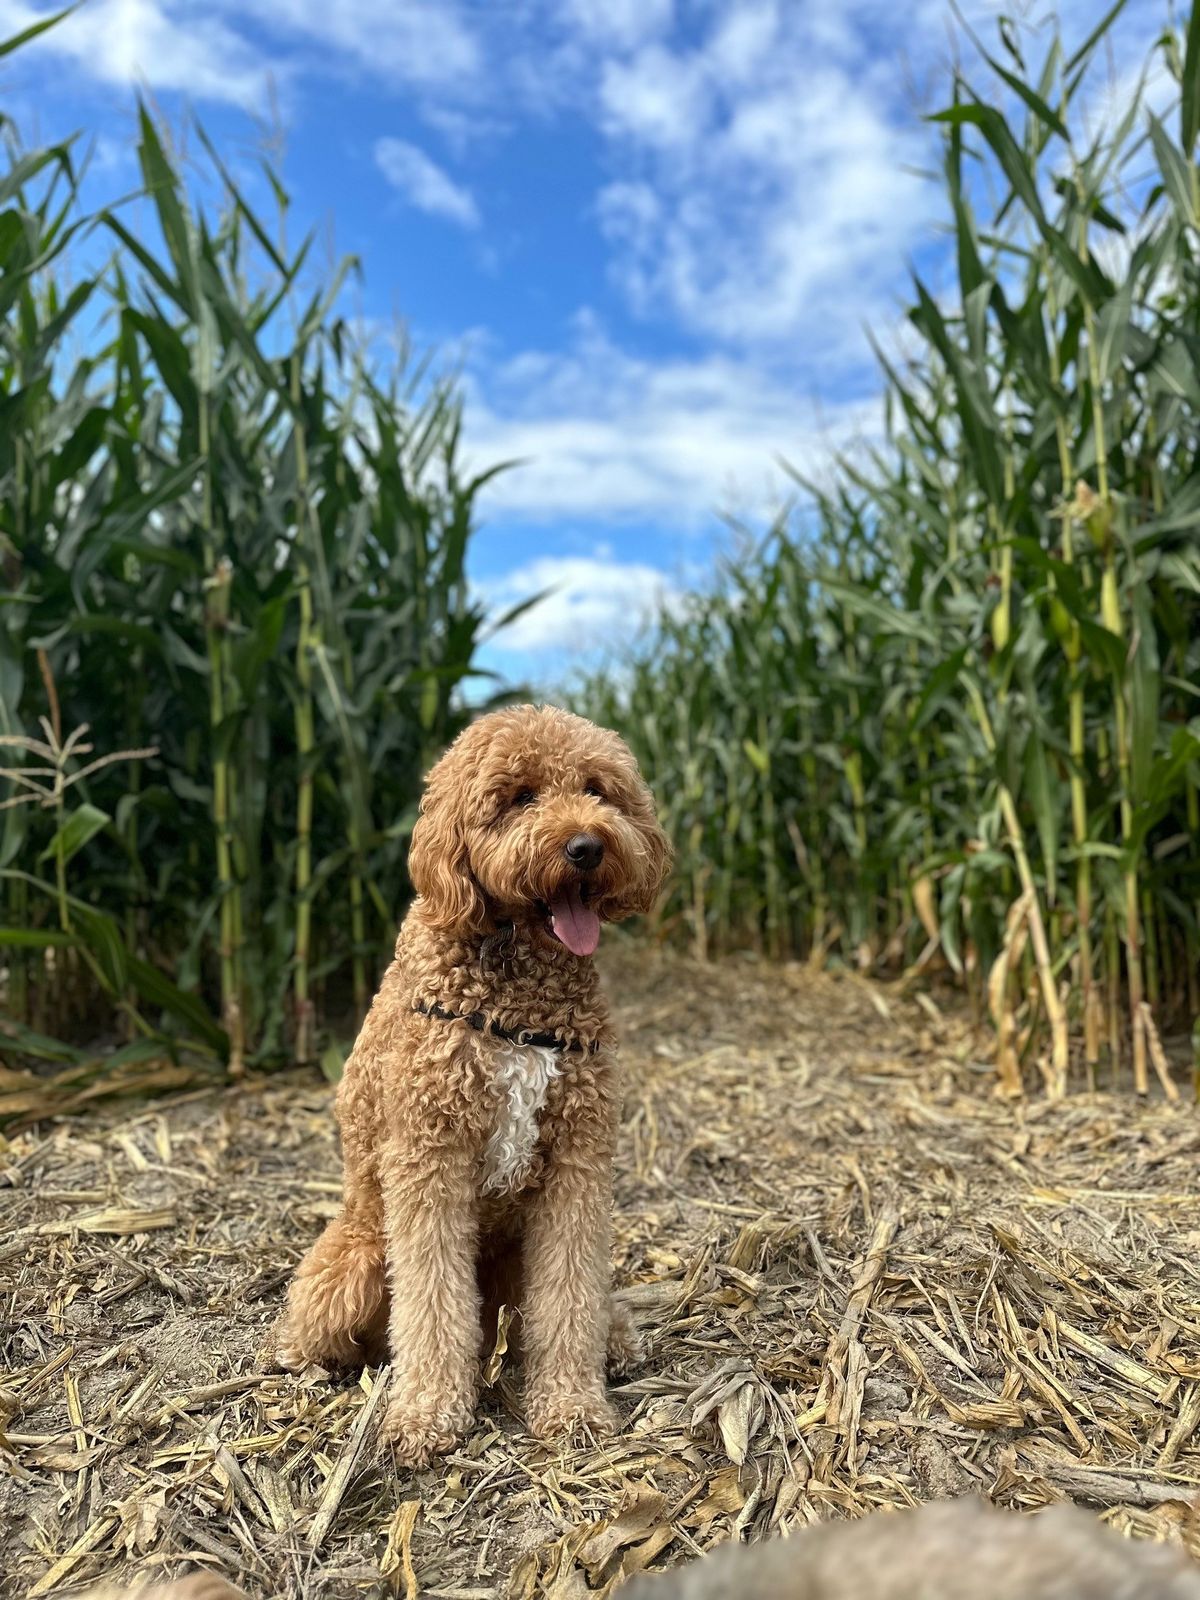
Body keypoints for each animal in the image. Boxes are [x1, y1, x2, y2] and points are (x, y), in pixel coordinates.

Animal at [272, 700, 672, 1465]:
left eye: (598, 789)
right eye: (519, 797)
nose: (587, 846)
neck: (518, 998)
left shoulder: (577, 1161)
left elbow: (571, 1295)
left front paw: (571, 1406)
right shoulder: (430, 1156)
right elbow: (432, 1304)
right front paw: (427, 1414)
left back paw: (614, 1338)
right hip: (357, 1261)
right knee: (326, 1326)